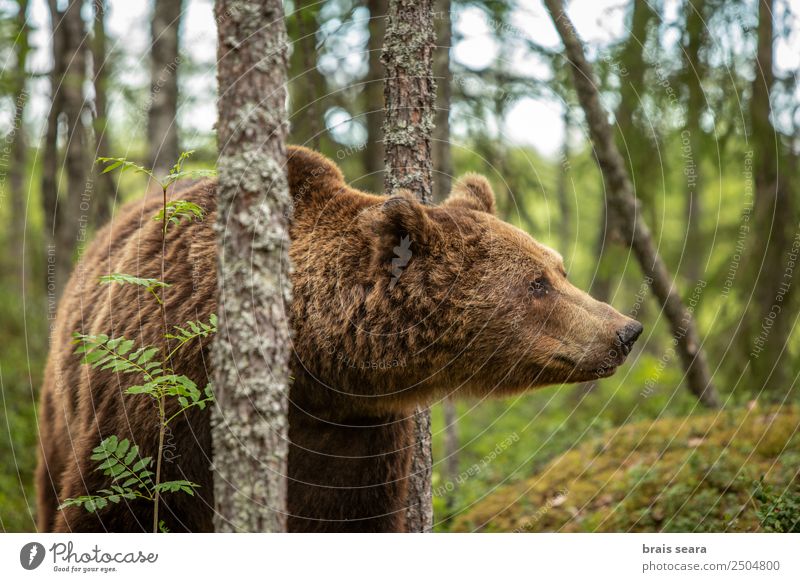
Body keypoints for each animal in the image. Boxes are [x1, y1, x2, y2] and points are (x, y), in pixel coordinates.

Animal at [36, 145, 644, 532]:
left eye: (558, 267)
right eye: (537, 283)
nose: (627, 330)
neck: (310, 369)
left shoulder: (354, 436)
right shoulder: (159, 401)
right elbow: (114, 508)